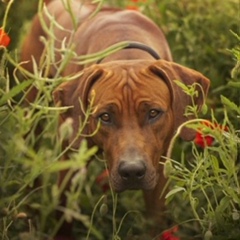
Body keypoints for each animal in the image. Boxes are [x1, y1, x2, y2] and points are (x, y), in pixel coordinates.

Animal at [21, 0, 210, 239]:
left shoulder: (158, 168)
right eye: (105, 116)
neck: (126, 52)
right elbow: (64, 214)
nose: (132, 172)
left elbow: (156, 219)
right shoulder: (72, 162)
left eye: (153, 113)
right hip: (32, 104)